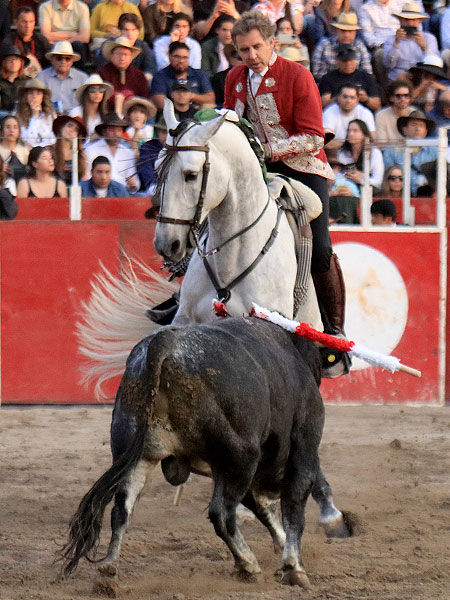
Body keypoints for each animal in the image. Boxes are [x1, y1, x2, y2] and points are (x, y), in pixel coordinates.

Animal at [61, 316, 346, 588]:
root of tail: (163, 342)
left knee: (122, 508)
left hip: (137, 452)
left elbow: (262, 506)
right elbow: (293, 504)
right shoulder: (303, 447)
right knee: (221, 513)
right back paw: (249, 565)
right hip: (241, 457)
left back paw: (109, 567)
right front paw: (294, 568)